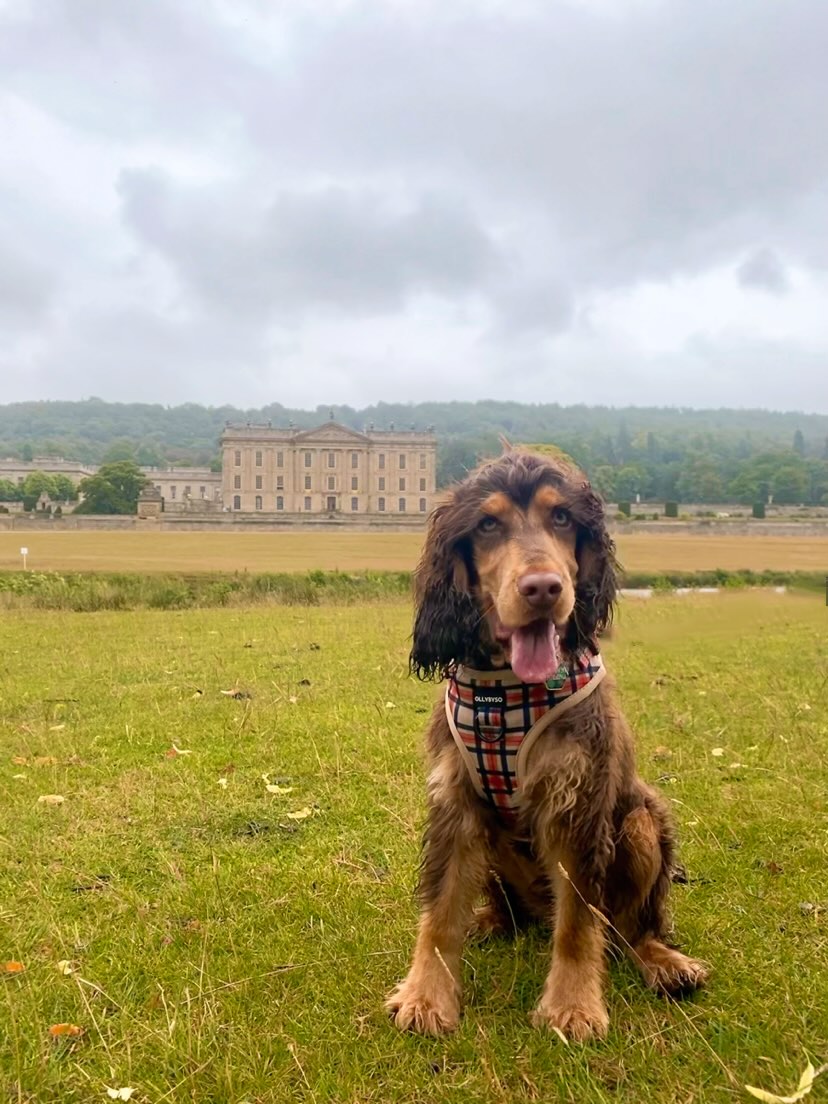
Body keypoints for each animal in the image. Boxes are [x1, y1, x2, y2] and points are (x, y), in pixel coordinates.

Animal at [386, 446, 710, 1033]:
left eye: (561, 517)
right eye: (488, 524)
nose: (542, 588)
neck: (505, 691)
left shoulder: (578, 805)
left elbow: (579, 920)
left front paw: (573, 1005)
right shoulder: (455, 802)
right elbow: (440, 910)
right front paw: (426, 996)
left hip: (641, 823)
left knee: (629, 927)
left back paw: (663, 961)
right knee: (514, 912)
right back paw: (490, 920)